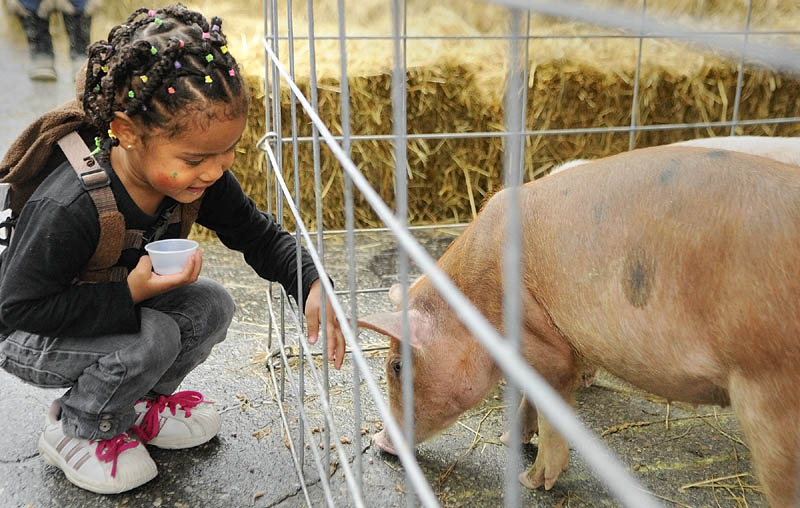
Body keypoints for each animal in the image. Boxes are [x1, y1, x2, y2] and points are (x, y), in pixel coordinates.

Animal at [360, 145, 800, 506]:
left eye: (396, 366)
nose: (379, 441)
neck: (474, 303)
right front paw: (509, 439)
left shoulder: (542, 340)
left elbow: (552, 408)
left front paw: (531, 480)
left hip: (771, 392)